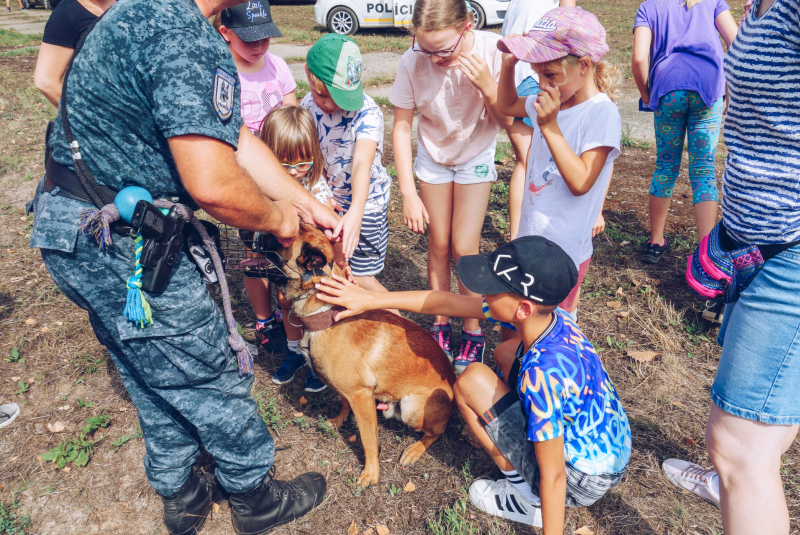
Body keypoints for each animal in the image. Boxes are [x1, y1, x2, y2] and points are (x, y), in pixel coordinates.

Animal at [266, 224, 456, 488]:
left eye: (278, 241)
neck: (326, 311)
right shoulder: (350, 391)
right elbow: (343, 403)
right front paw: (338, 421)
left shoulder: (361, 396)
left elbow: (368, 440)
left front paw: (371, 474)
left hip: (412, 405)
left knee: (437, 431)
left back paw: (414, 450)